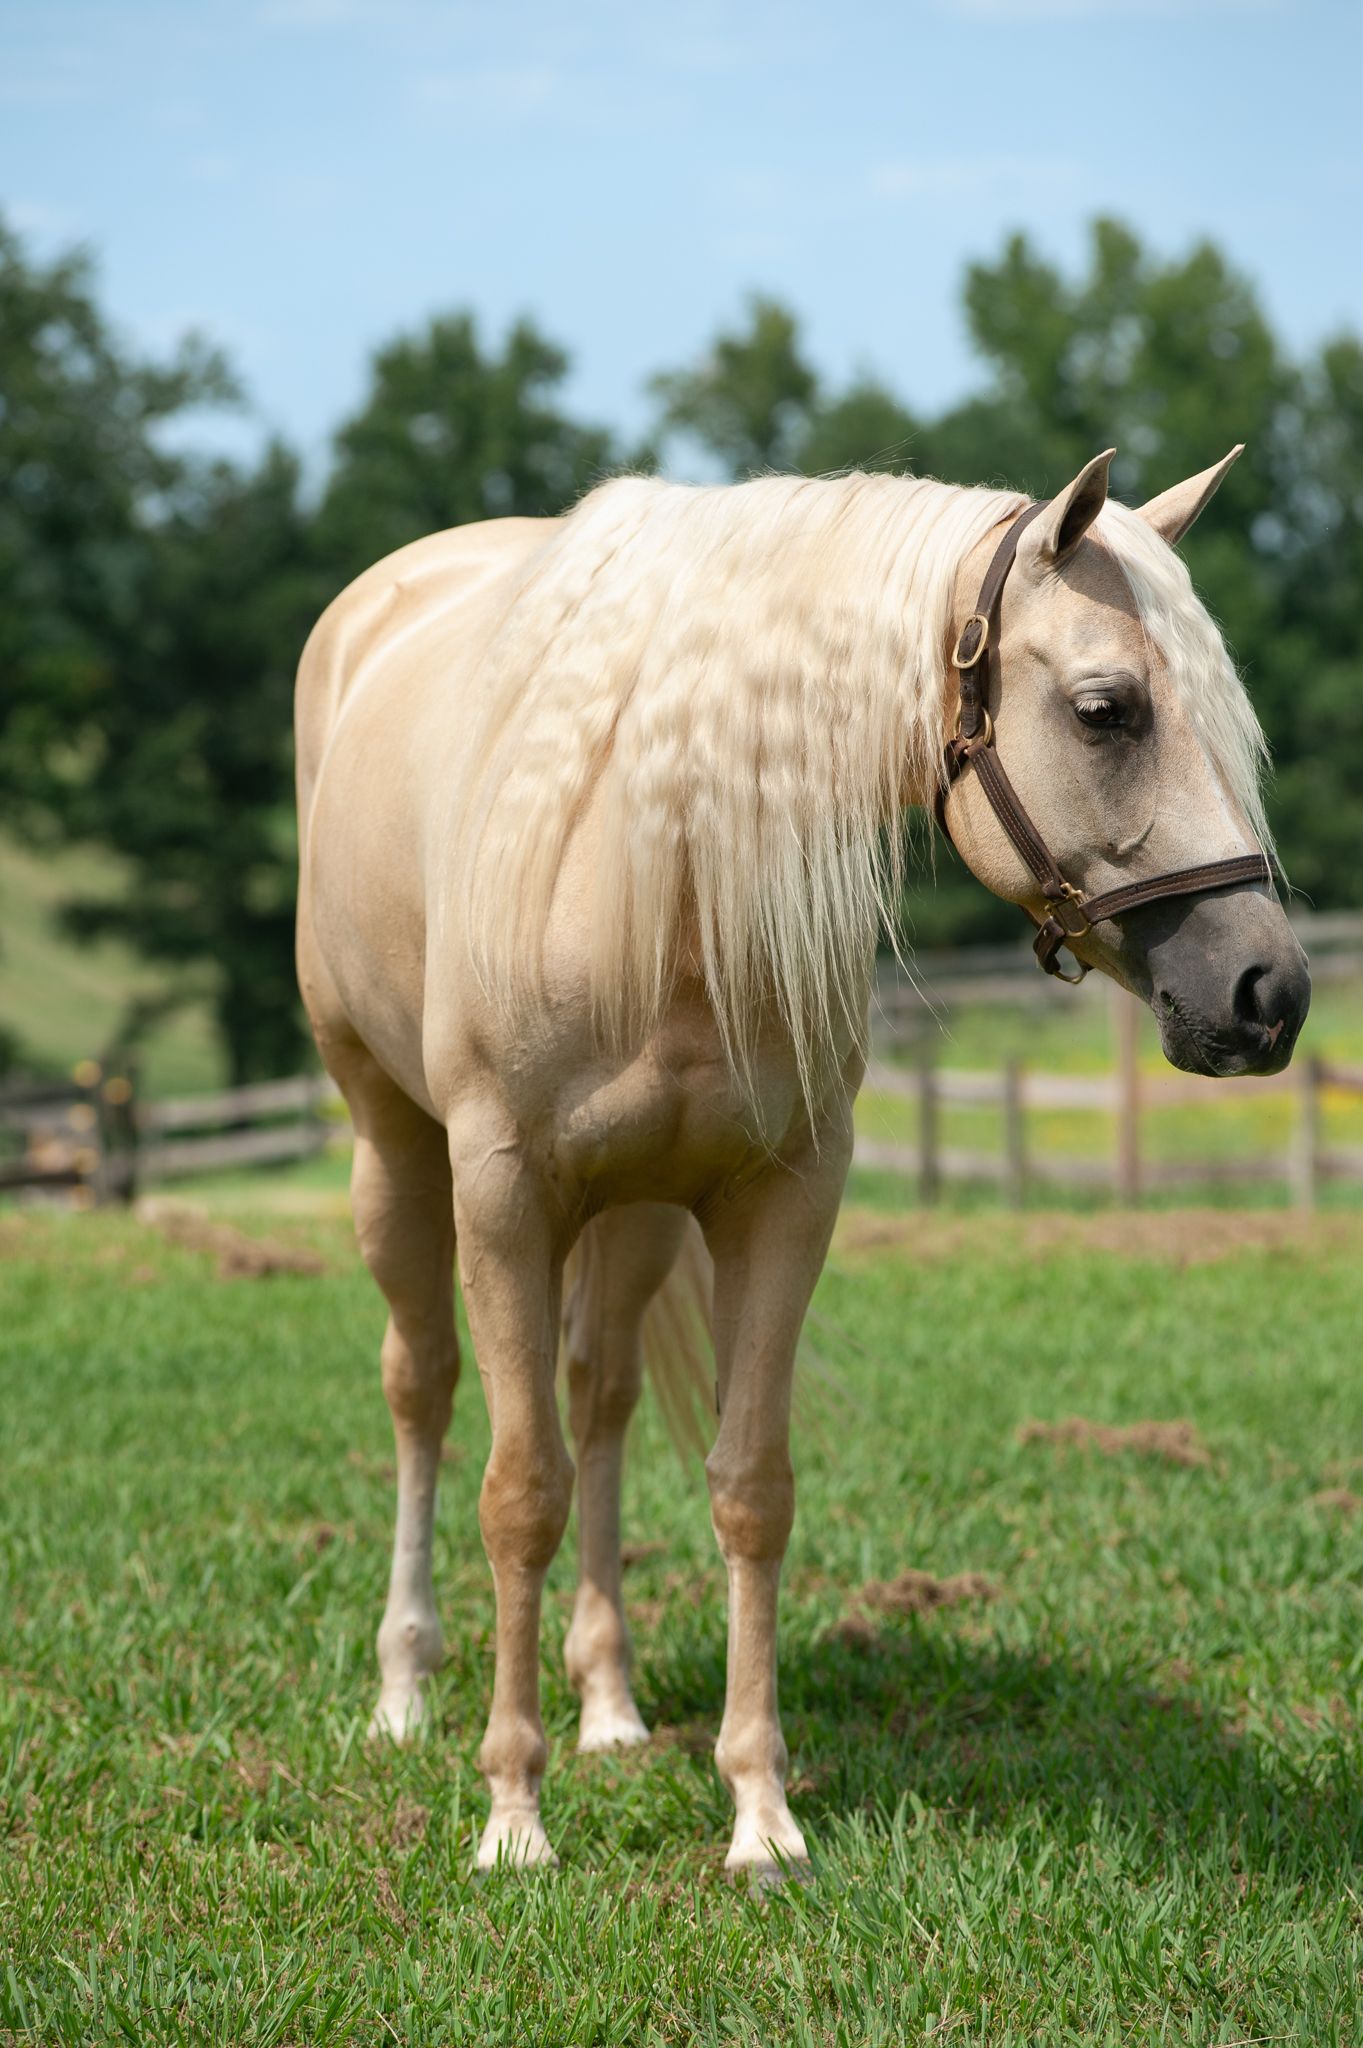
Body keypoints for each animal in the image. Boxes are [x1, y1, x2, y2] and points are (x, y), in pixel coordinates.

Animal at [295, 449, 1310, 1877]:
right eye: (1105, 711)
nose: (1269, 992)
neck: (655, 858)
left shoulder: (780, 1198)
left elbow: (747, 1488)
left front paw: (759, 1813)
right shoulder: (501, 1195)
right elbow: (519, 1490)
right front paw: (511, 1815)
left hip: (634, 1212)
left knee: (598, 1395)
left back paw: (608, 1704)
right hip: (394, 1146)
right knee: (424, 1388)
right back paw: (401, 1686)